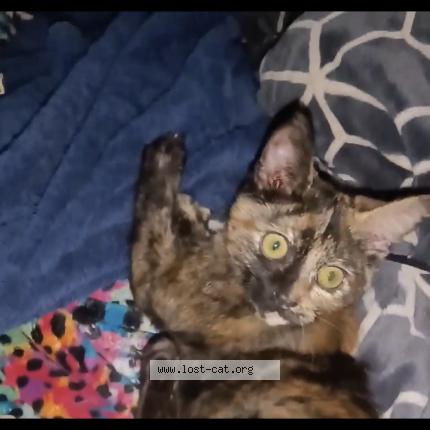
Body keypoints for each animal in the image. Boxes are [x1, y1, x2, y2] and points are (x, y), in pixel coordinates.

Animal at [130, 100, 430, 418]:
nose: (283, 298)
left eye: (331, 277)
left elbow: (150, 223)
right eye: (275, 245)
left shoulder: (161, 286)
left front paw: (164, 153)